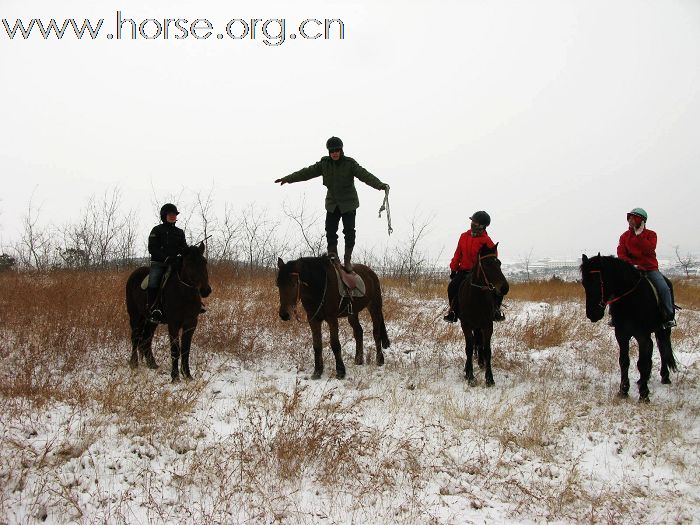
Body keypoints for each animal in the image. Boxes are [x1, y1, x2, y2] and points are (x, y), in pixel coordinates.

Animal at [126, 242, 212, 380]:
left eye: (204, 261)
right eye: (189, 263)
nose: (205, 290)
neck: (184, 294)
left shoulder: (191, 324)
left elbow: (186, 350)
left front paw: (187, 375)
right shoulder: (173, 324)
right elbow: (175, 349)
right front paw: (175, 377)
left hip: (151, 320)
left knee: (147, 338)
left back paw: (152, 363)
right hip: (135, 316)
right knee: (135, 337)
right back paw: (133, 363)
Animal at [454, 244, 508, 386]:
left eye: (499, 263)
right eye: (487, 264)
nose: (505, 288)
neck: (476, 298)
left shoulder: (488, 326)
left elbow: (487, 350)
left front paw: (489, 378)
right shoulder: (466, 326)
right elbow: (468, 348)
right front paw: (470, 376)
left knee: (478, 343)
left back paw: (480, 362)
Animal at [576, 254, 676, 402]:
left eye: (599, 282)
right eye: (584, 283)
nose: (592, 314)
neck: (630, 301)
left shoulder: (642, 336)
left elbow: (642, 363)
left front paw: (644, 394)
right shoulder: (621, 335)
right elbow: (624, 361)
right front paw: (623, 390)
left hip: (663, 329)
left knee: (662, 348)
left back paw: (664, 377)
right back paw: (644, 379)